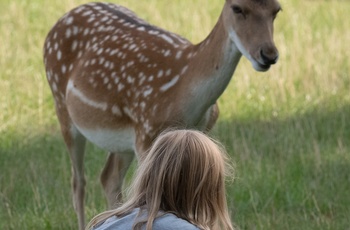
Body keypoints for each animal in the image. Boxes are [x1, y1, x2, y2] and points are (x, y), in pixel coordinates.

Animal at [43, 0, 282, 229]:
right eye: (237, 8)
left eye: (276, 10)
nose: (268, 55)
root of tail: (58, 23)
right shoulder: (146, 130)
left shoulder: (200, 130)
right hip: (62, 105)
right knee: (79, 183)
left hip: (122, 140)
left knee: (108, 177)